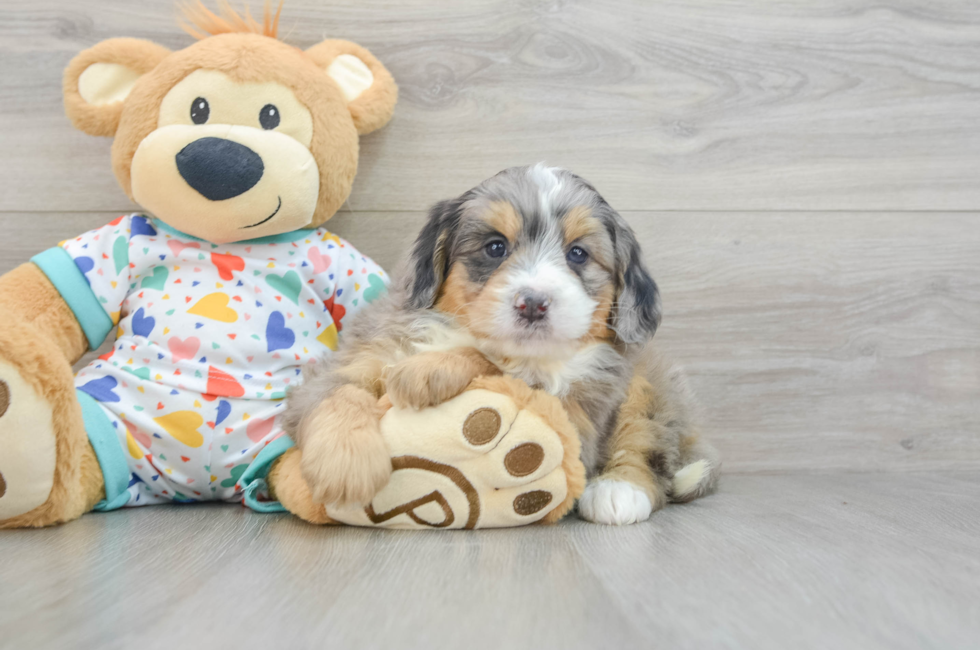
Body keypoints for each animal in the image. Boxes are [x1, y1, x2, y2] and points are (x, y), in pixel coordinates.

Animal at [284, 165, 720, 524]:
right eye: (495, 247)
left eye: (578, 254)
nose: (534, 303)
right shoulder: (361, 354)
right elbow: (337, 393)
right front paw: (345, 465)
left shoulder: (577, 411)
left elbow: (493, 361)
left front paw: (426, 371)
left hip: (651, 384)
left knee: (646, 444)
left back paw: (618, 491)